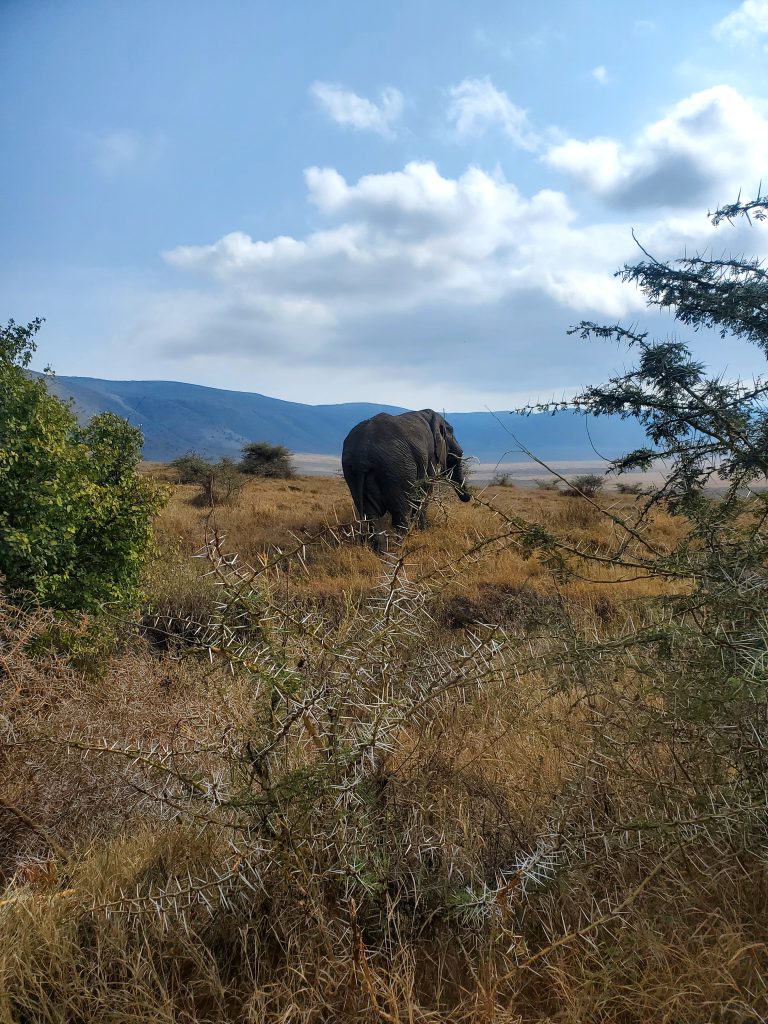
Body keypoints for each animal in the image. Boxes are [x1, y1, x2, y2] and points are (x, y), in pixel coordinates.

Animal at [342, 409, 471, 539]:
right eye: (451, 431)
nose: (467, 498)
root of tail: (362, 456)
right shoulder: (431, 457)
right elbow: (426, 491)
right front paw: (424, 530)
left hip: (352, 472)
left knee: (371, 516)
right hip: (397, 468)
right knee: (401, 512)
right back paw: (404, 540)